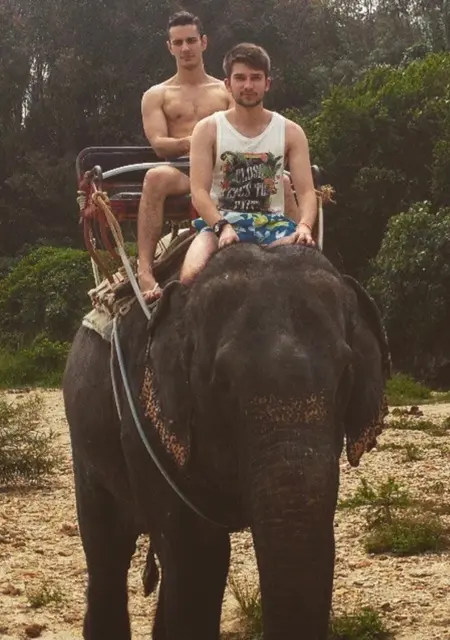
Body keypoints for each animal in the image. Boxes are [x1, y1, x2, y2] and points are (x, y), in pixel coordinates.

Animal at [63, 242, 390, 640]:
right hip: (85, 439)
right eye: (222, 382)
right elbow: (198, 556)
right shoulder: (146, 420)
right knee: (107, 551)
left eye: (346, 374)